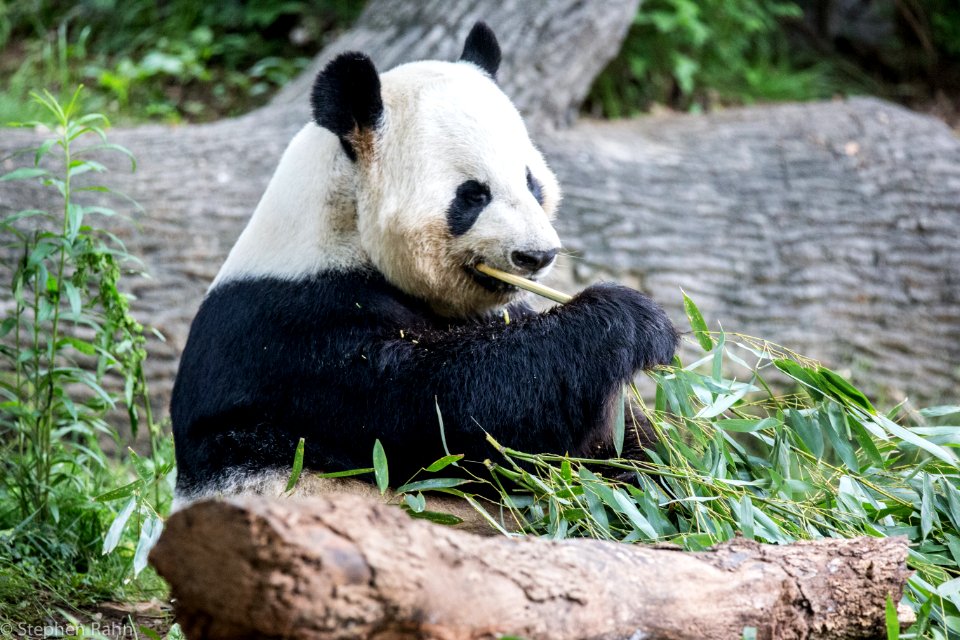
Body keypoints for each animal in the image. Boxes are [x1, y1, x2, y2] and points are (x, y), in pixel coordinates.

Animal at [172, 21, 684, 510]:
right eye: (473, 195)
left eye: (531, 182)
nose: (535, 256)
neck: (343, 228)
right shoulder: (298, 339)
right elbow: (449, 414)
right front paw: (631, 320)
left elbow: (614, 444)